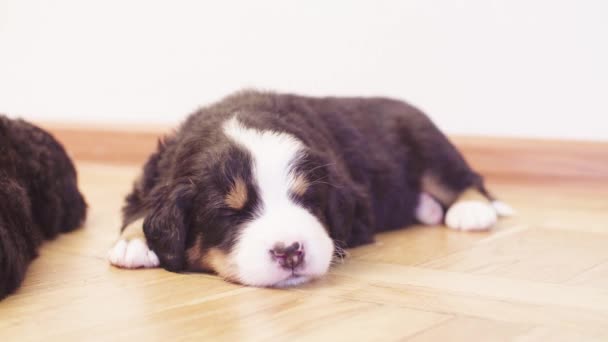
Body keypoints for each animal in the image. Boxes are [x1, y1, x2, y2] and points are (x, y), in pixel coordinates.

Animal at [109, 90, 512, 286]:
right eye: (229, 213)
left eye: (308, 200)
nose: (290, 252)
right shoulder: (153, 175)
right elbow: (139, 207)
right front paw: (134, 242)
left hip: (427, 143)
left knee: (465, 179)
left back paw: (471, 210)